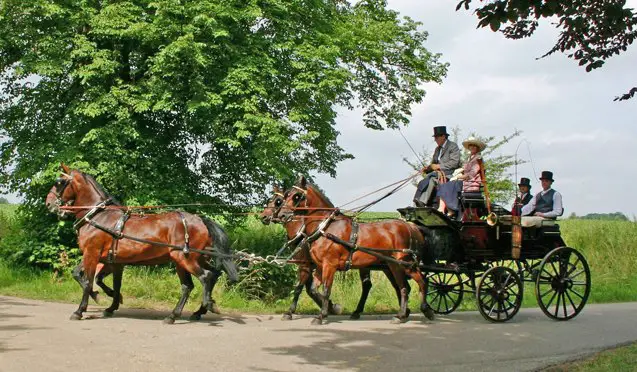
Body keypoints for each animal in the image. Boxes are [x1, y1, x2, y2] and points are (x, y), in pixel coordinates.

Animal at [44, 163, 238, 322]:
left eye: (59, 182)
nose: (48, 204)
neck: (98, 216)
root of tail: (199, 219)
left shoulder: (92, 253)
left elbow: (86, 280)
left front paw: (80, 310)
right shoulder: (112, 261)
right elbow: (100, 280)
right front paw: (111, 303)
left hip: (184, 258)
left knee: (203, 278)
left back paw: (193, 309)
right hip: (192, 258)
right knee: (203, 279)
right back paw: (196, 311)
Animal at [258, 186, 408, 320]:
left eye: (278, 201)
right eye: (272, 200)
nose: (263, 216)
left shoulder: (307, 265)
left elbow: (302, 288)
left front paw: (330, 307)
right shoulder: (311, 265)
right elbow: (308, 288)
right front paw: (328, 307)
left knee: (391, 285)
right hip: (384, 266)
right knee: (394, 285)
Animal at [278, 176, 432, 324]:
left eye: (297, 196)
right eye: (286, 195)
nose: (282, 215)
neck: (326, 228)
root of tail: (410, 227)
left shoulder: (329, 265)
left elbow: (326, 290)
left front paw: (322, 315)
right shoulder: (320, 266)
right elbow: (313, 289)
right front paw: (331, 308)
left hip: (405, 263)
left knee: (419, 283)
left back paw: (423, 310)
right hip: (393, 265)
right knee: (404, 287)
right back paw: (403, 314)